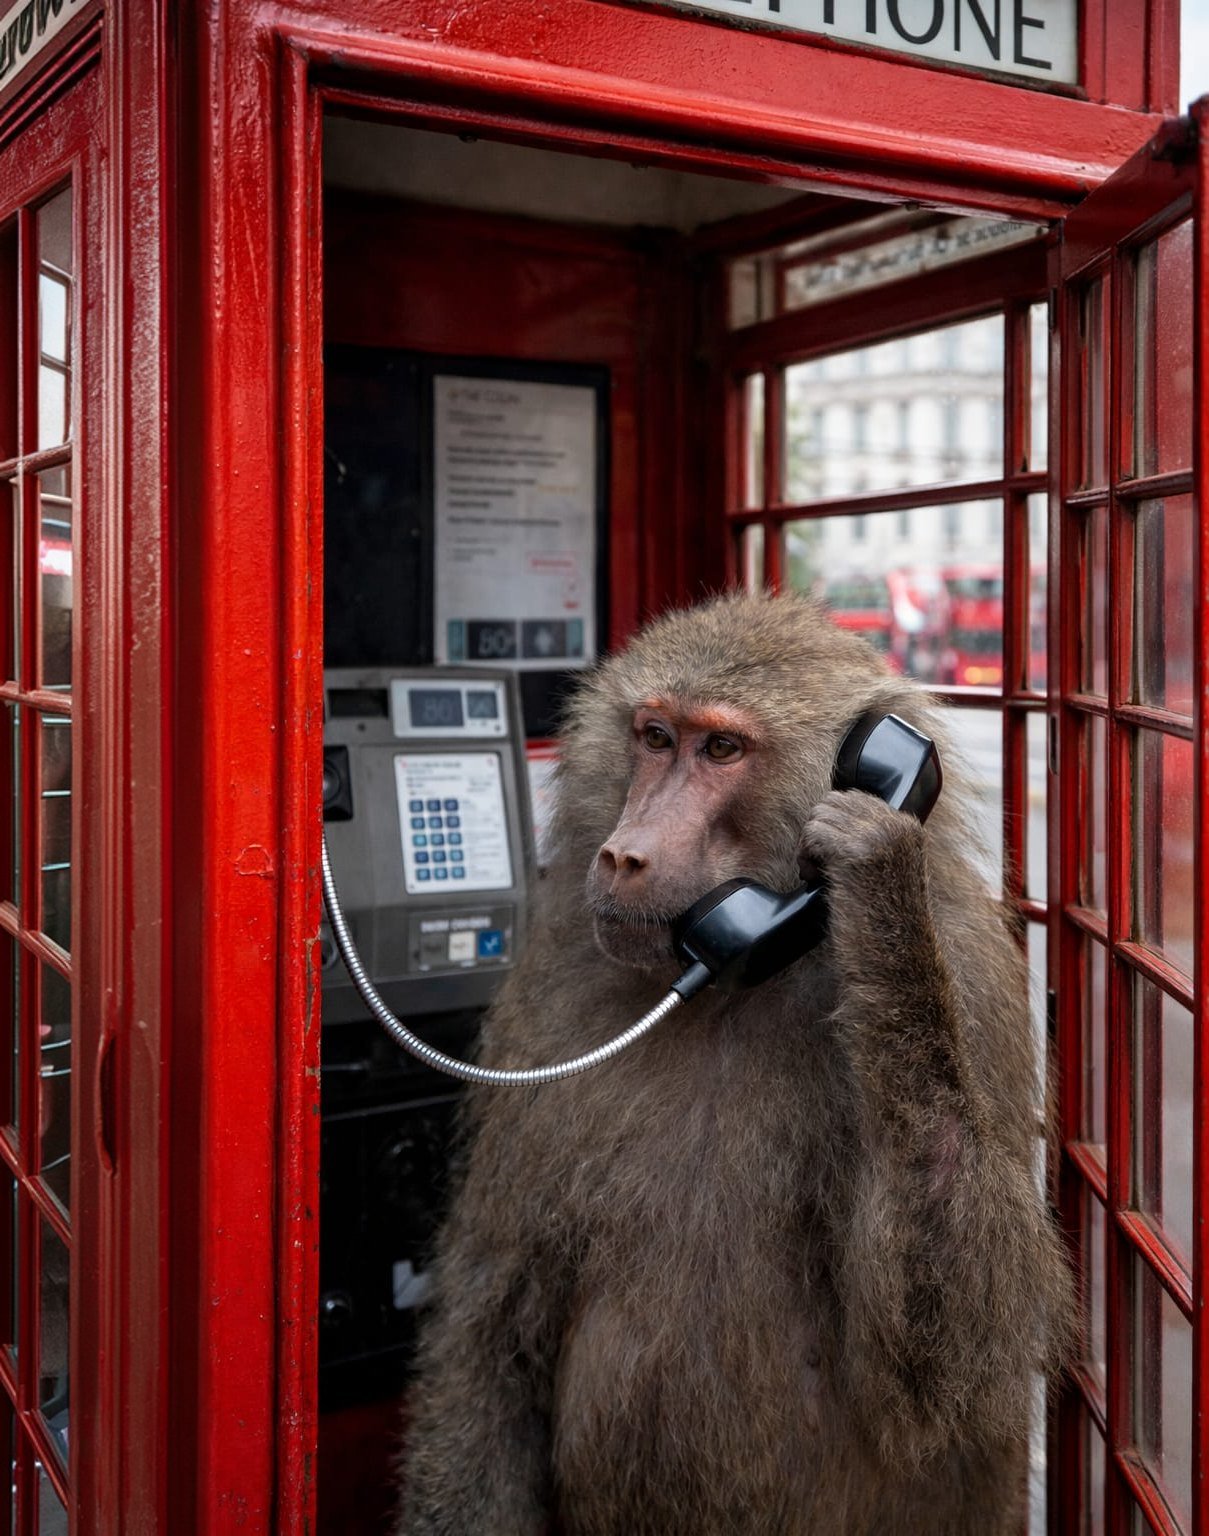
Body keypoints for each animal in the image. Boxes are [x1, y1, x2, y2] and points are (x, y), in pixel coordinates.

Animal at [397, 591, 1074, 1536]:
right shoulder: (553, 975)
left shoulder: (975, 980)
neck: (722, 985)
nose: (624, 855)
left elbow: (959, 1379)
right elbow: (492, 1317)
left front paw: (877, 873)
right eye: (654, 736)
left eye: (720, 749)